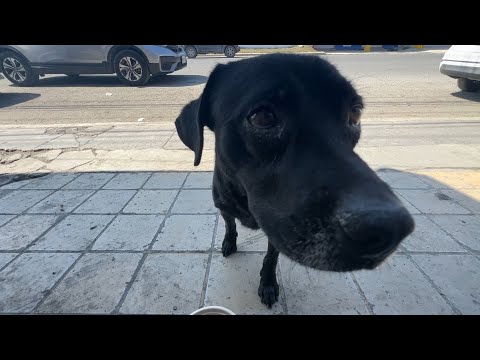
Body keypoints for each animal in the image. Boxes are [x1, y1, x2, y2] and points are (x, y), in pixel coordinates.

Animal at [174, 54, 414, 308]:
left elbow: (271, 258)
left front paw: (268, 284)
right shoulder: (225, 207)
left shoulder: (277, 231)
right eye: (262, 117)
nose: (390, 227)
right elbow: (230, 225)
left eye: (355, 114)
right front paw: (230, 241)